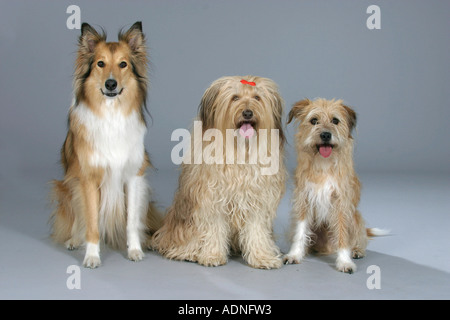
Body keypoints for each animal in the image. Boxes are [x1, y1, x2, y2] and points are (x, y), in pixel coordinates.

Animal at [284, 97, 386, 272]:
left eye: (335, 120)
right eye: (314, 120)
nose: (325, 134)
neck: (324, 165)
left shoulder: (341, 204)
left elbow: (343, 234)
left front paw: (344, 261)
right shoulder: (303, 200)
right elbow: (300, 231)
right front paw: (295, 254)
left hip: (356, 218)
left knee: (359, 238)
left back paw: (357, 250)